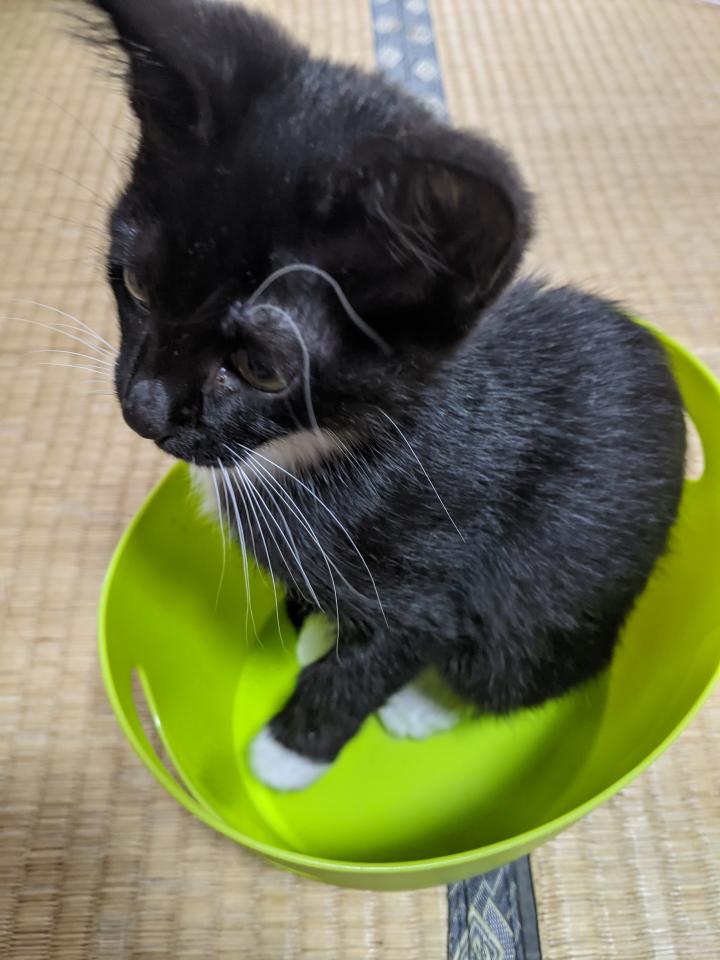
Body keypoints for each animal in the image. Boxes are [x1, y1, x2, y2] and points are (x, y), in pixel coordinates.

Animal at [86, 0, 686, 790]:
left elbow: (380, 659)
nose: (142, 406)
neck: (307, 446)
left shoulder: (431, 577)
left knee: (521, 669)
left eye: (261, 368)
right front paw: (318, 626)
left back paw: (426, 706)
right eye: (136, 285)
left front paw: (289, 751)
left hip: (559, 599)